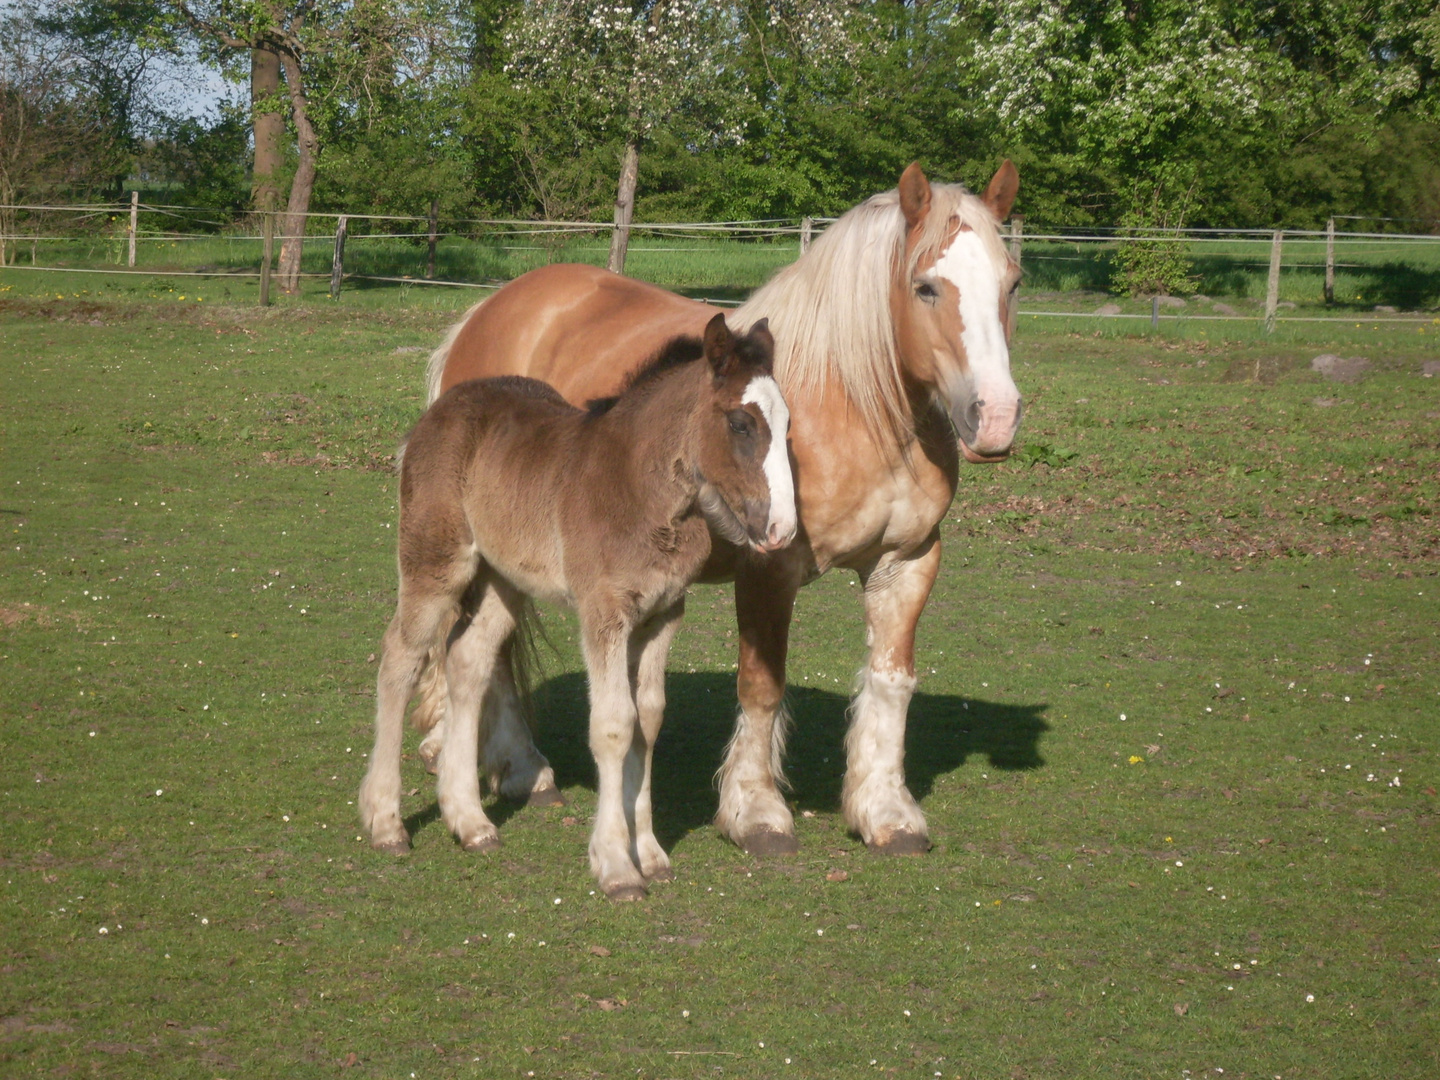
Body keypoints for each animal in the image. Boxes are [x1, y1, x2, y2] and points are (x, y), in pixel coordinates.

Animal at [417, 162, 1025, 852]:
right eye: (924, 288)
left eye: (1012, 282)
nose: (995, 418)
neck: (851, 406)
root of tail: (485, 313)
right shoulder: (768, 566)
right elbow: (761, 684)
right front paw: (755, 810)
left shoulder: (907, 561)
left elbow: (891, 682)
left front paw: (886, 810)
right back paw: (494, 761)